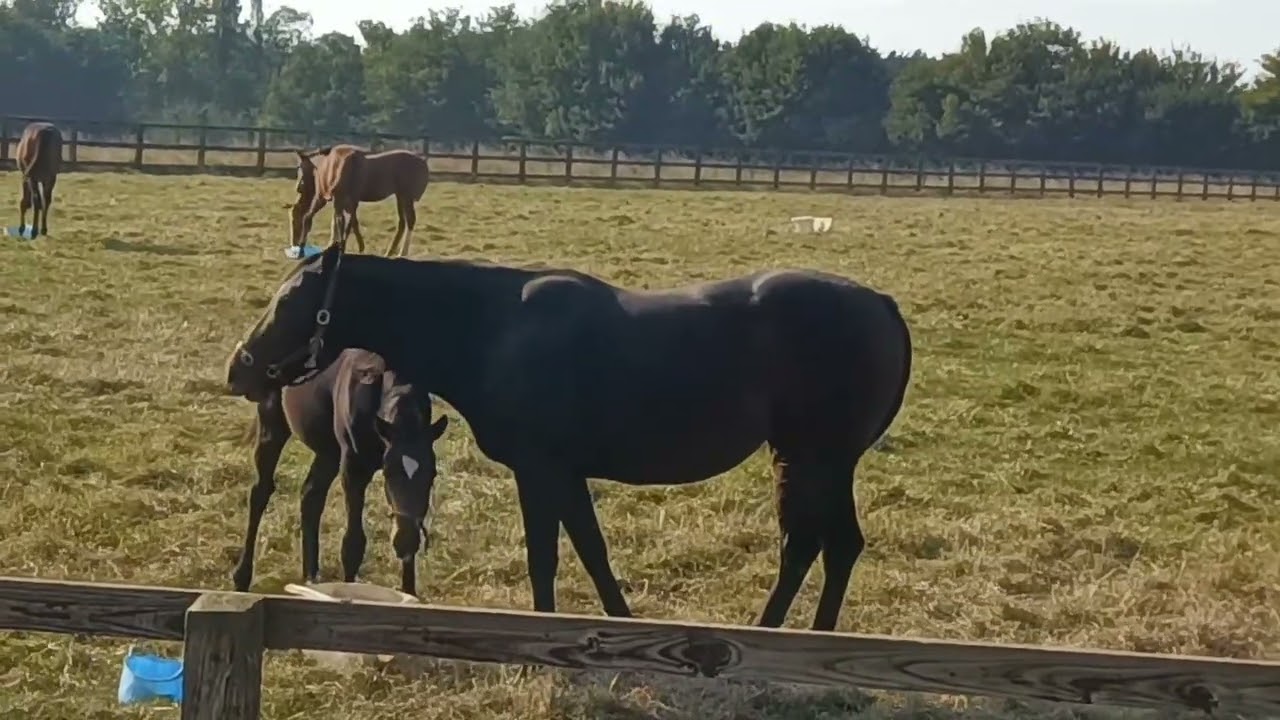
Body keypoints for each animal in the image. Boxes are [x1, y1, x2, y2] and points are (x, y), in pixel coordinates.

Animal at [231, 347, 450, 597]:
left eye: (432, 474)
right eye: (388, 472)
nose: (406, 540)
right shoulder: (353, 469)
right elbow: (353, 545)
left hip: (328, 451)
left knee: (311, 496)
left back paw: (311, 577)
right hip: (273, 424)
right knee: (260, 492)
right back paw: (241, 577)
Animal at [284, 145, 429, 258]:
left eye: (294, 220)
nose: (293, 245)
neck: (327, 166)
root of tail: (423, 162)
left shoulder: (326, 198)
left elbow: (326, 220)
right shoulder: (345, 201)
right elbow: (346, 222)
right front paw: (348, 246)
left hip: (406, 196)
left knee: (410, 220)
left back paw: (402, 253)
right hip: (400, 196)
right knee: (402, 223)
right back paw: (389, 252)